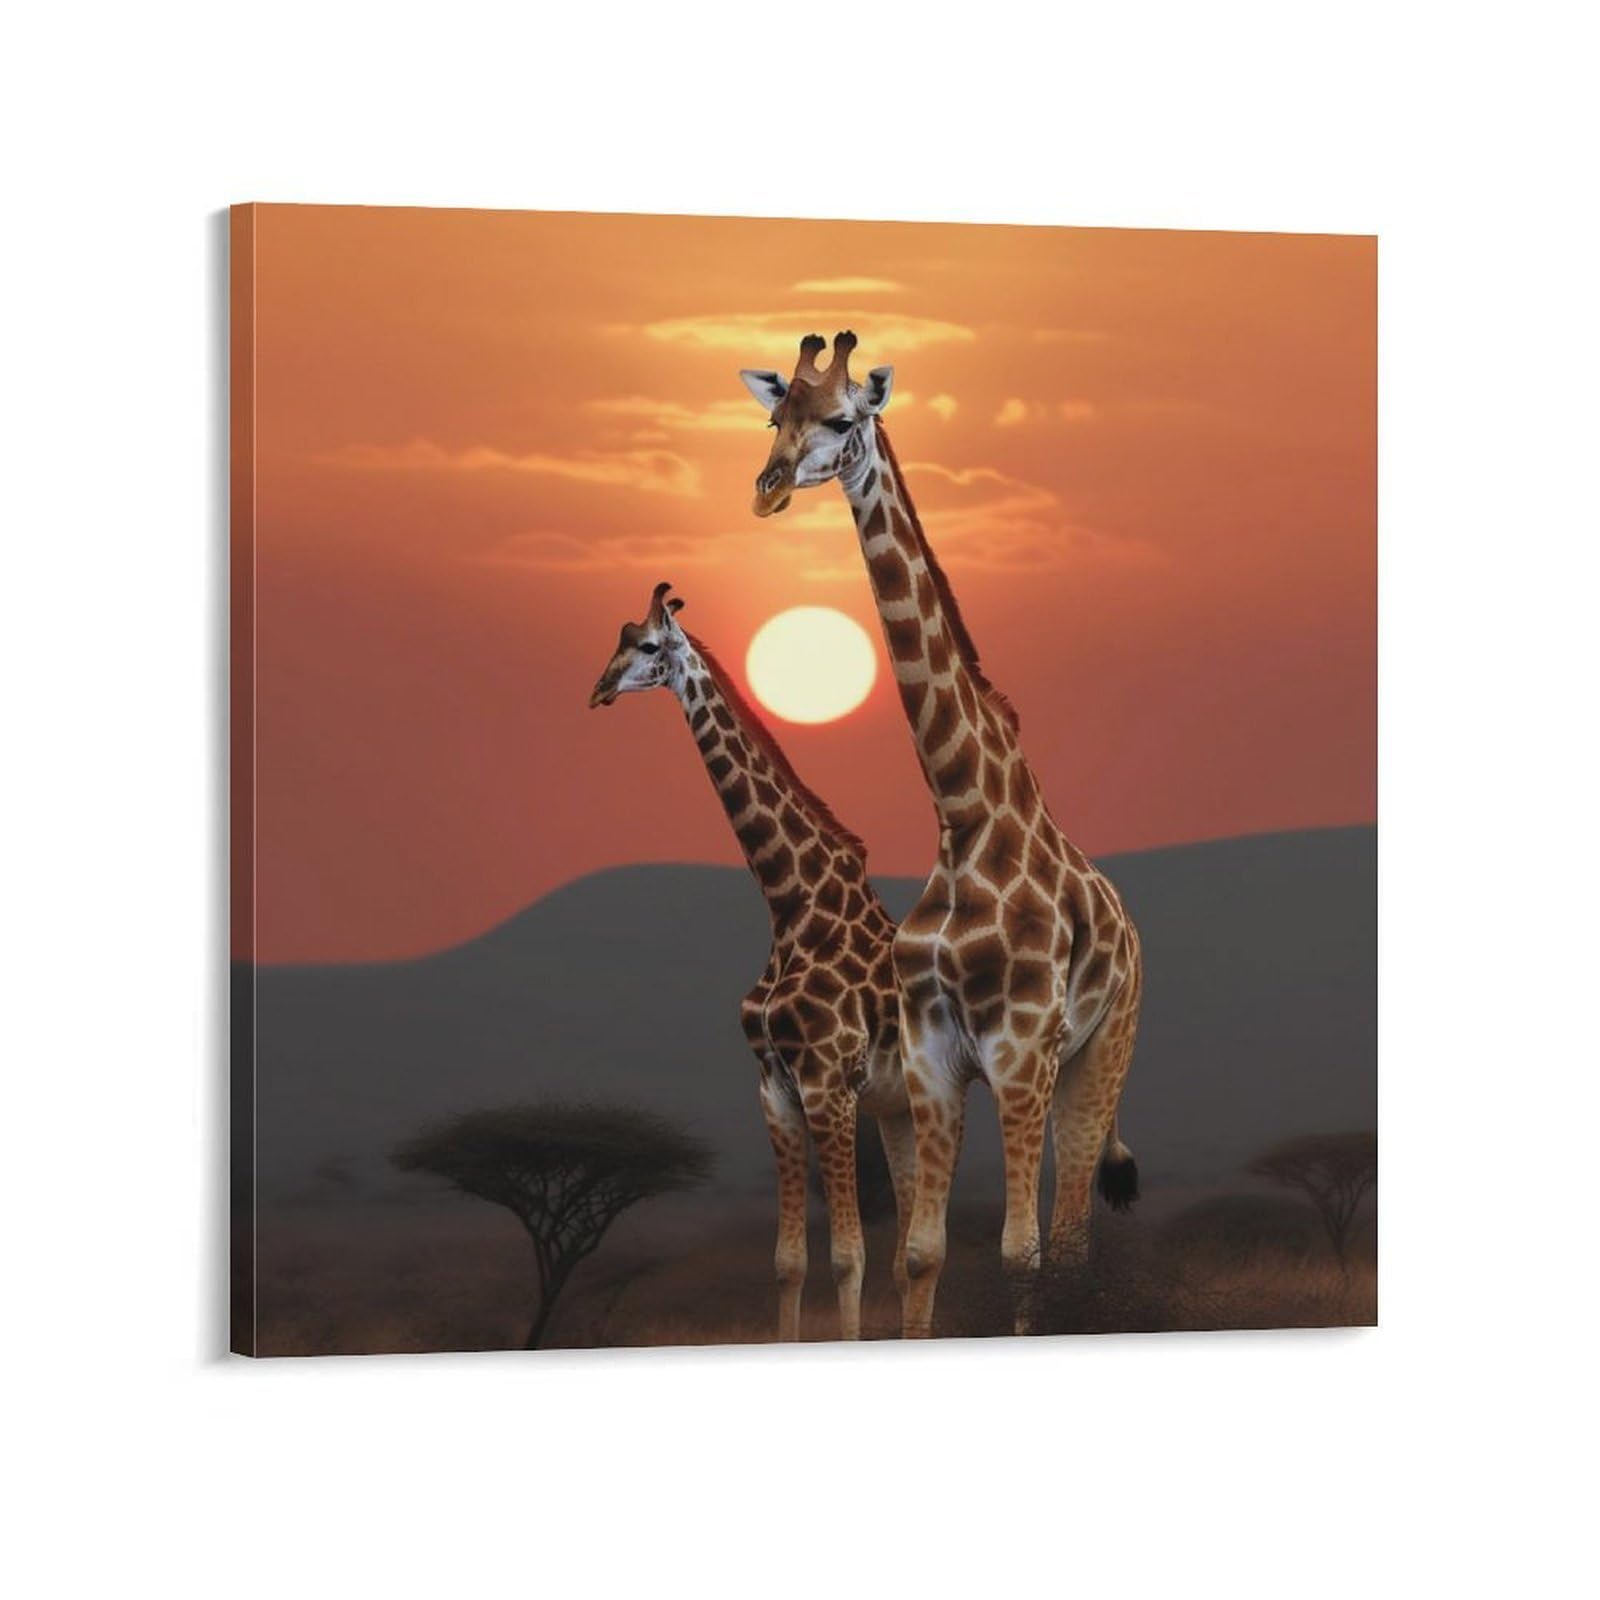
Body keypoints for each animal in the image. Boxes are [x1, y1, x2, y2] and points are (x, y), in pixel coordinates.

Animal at [589, 580, 914, 1341]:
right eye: (617, 638)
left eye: (649, 644)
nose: (599, 690)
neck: (792, 903)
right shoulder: (774, 1087)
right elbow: (789, 1261)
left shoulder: (827, 1082)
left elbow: (848, 1257)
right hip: (900, 1108)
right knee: (921, 1251)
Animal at [738, 332, 1142, 1338]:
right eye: (776, 416)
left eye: (845, 418)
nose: (767, 486)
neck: (964, 814)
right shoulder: (929, 1061)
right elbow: (922, 1253)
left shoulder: (1021, 1054)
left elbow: (1020, 1254)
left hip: (1098, 1058)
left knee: (1070, 1238)